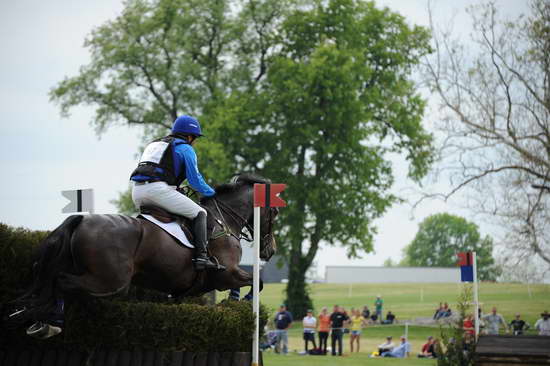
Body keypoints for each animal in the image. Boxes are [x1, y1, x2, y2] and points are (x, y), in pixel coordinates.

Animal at [6, 173, 278, 336]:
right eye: (274, 212)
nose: (270, 250)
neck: (224, 219)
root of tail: (81, 219)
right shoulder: (226, 274)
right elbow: (257, 282)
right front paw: (241, 302)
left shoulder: (188, 289)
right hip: (110, 282)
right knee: (60, 282)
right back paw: (51, 322)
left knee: (52, 282)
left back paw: (39, 321)